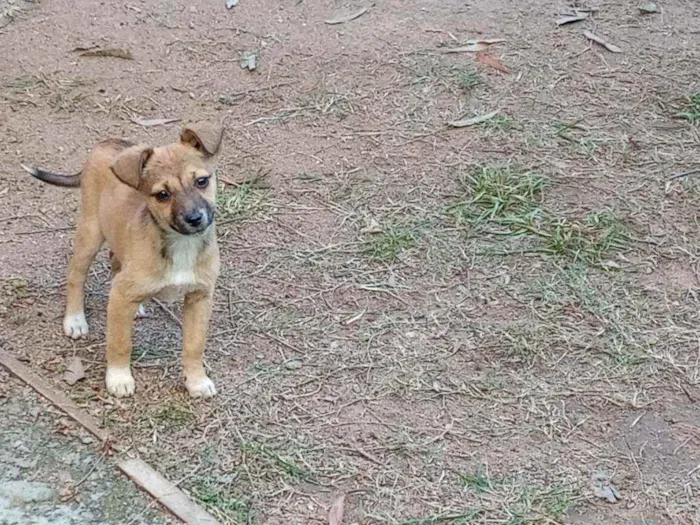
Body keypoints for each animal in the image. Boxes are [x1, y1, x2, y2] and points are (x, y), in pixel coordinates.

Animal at [23, 124, 221, 398]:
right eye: (163, 195)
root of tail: (105, 143)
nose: (194, 218)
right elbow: (119, 342)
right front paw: (118, 378)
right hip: (90, 234)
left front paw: (196, 381)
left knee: (115, 264)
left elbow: (194, 345)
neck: (180, 243)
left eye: (202, 181)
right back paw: (75, 320)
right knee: (76, 275)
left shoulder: (200, 296)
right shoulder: (121, 298)